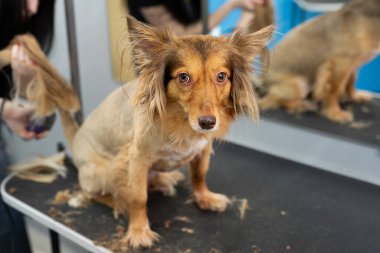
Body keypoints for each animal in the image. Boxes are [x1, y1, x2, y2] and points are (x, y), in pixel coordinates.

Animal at [60, 16, 272, 249]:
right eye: (184, 77)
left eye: (221, 76)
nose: (208, 123)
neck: (181, 121)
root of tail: (75, 140)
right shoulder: (136, 159)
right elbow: (138, 197)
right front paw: (138, 230)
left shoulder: (202, 150)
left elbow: (199, 175)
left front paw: (205, 197)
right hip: (101, 174)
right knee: (92, 193)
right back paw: (118, 202)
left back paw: (163, 179)